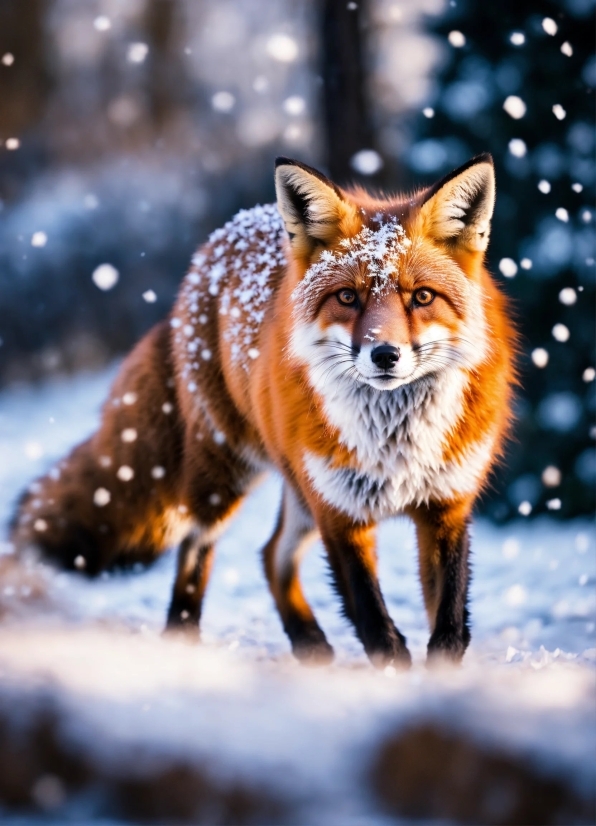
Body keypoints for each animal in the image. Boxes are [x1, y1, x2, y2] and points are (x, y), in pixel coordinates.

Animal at [12, 158, 516, 668]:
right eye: (348, 298)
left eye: (422, 297)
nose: (385, 356)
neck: (395, 443)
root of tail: (208, 254)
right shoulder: (339, 513)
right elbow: (374, 623)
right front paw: (393, 672)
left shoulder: (446, 505)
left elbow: (449, 624)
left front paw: (439, 676)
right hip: (230, 475)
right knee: (196, 545)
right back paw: (183, 640)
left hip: (299, 493)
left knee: (271, 554)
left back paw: (307, 641)